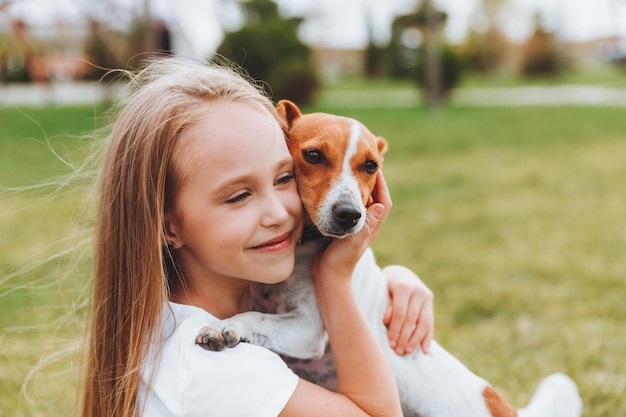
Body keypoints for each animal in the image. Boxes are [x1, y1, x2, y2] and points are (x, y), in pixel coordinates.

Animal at [195, 100, 580, 416]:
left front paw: (226, 326)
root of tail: (505, 407)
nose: (350, 215)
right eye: (314, 156)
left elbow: (256, 317)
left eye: (370, 166)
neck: (306, 246)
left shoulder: (308, 328)